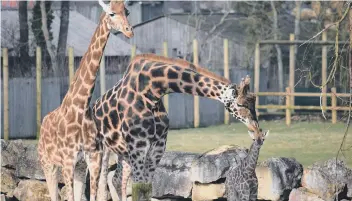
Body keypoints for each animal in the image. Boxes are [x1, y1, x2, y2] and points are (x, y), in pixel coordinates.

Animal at [37, 0, 133, 200]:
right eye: (112, 13)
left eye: (126, 11)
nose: (129, 31)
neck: (81, 106)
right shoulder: (67, 160)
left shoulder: (92, 158)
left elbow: (93, 194)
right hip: (47, 163)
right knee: (52, 194)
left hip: (78, 168)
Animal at [91, 54, 264, 200]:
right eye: (241, 104)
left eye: (254, 103)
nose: (257, 131)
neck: (153, 90)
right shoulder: (138, 148)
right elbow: (137, 189)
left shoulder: (157, 148)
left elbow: (146, 188)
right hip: (99, 151)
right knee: (100, 183)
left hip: (122, 154)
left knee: (115, 179)